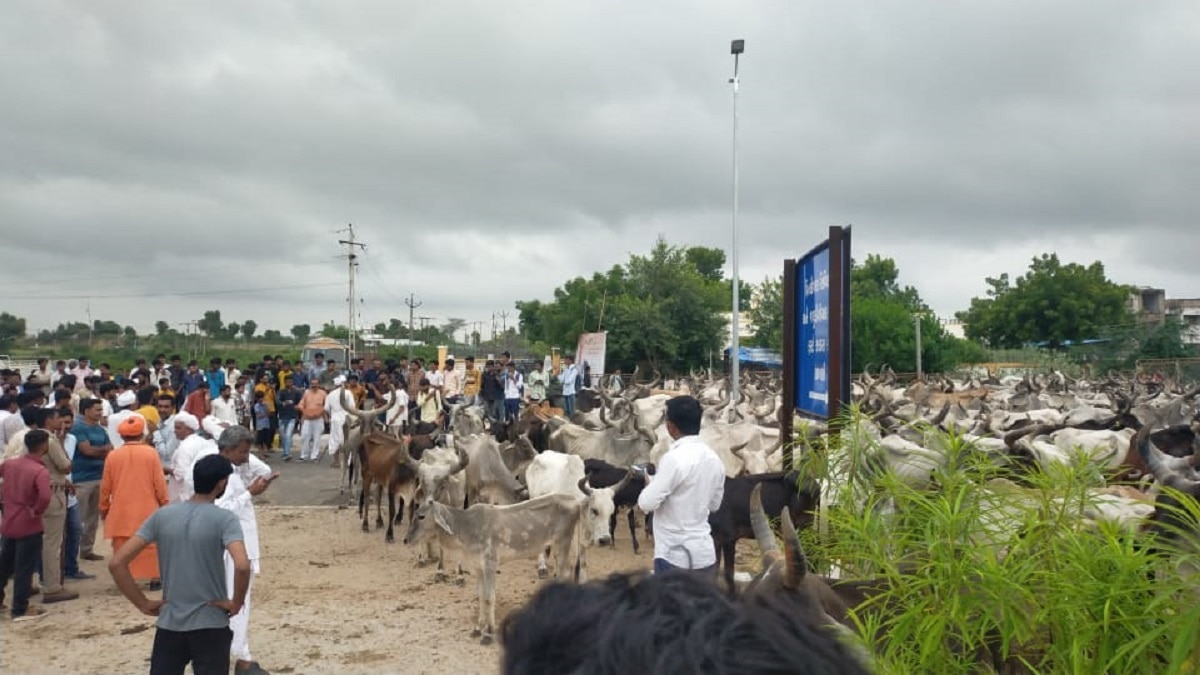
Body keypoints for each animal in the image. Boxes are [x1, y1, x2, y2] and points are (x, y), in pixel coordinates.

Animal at [400, 494, 583, 638]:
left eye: (421, 516)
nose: (406, 539)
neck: (466, 527)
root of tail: (575, 500)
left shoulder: (490, 564)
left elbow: (489, 597)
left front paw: (488, 632)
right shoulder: (478, 568)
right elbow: (481, 596)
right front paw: (478, 628)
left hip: (562, 544)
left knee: (565, 576)